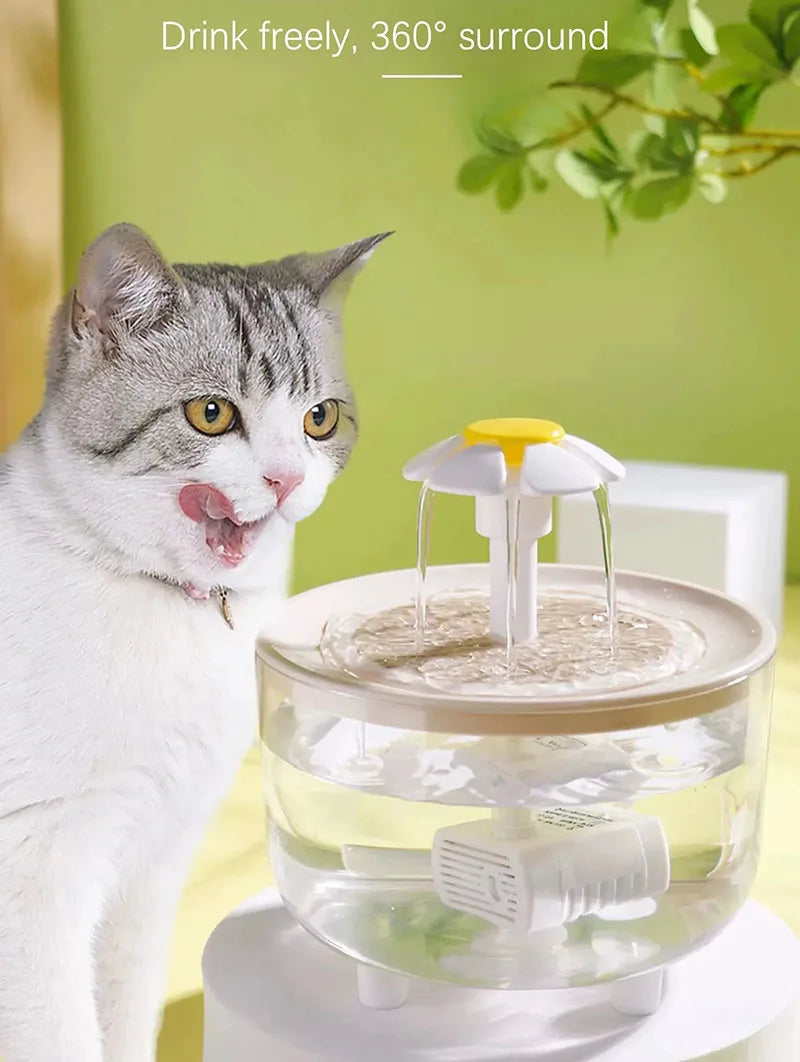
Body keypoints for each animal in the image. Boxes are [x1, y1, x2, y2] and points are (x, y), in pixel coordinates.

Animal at [0, 219, 390, 1057]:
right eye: (211, 414)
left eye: (320, 419)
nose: (285, 479)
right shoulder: (35, 869)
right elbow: (61, 1034)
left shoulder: (152, 863)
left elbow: (126, 1011)